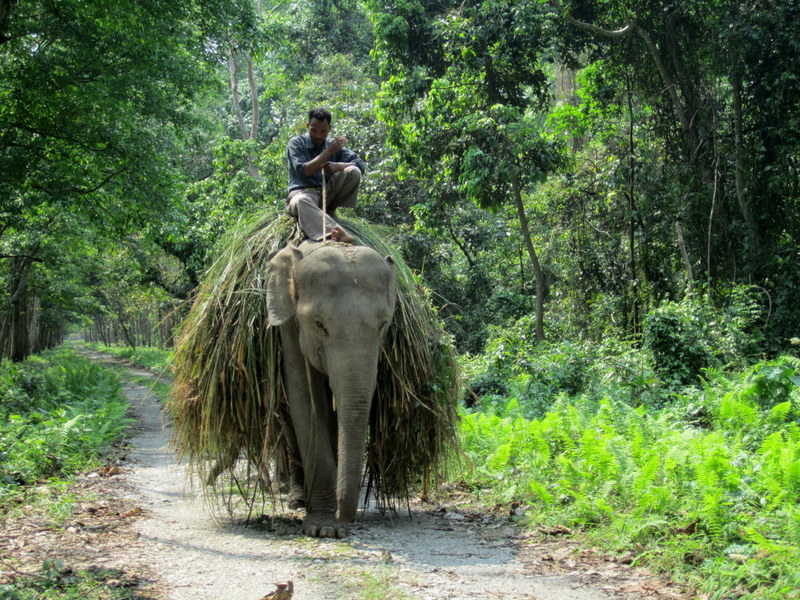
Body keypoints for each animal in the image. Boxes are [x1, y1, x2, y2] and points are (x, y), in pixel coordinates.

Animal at [265, 239, 396, 538]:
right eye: (319, 324)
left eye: (383, 324)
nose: (346, 516)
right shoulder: (290, 329)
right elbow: (304, 402)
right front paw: (324, 529)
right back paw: (297, 500)